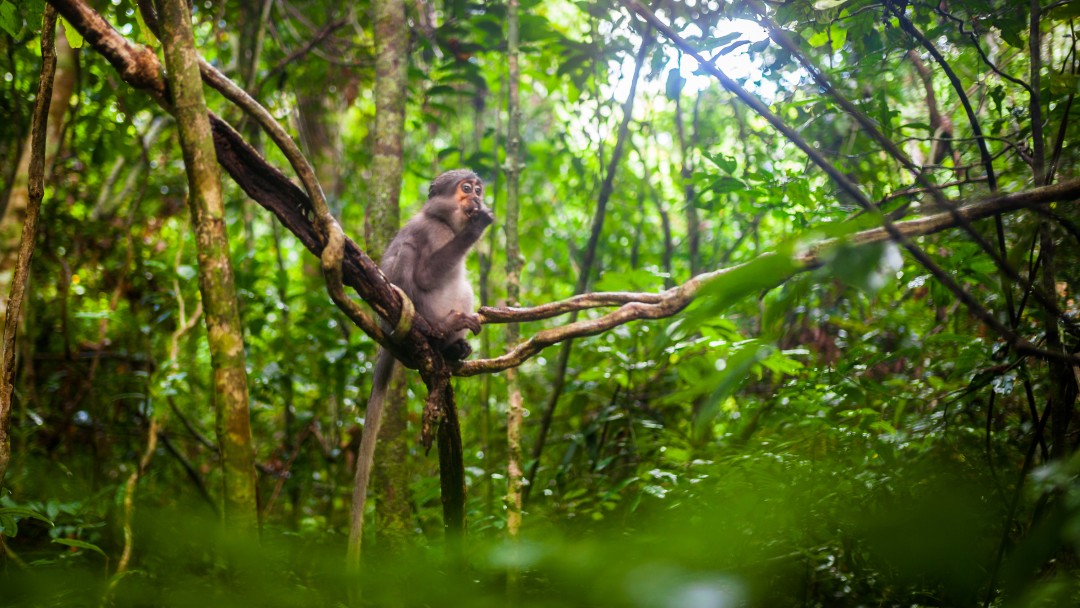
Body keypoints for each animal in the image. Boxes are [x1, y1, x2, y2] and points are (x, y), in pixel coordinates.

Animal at [345, 168, 494, 557]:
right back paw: (444, 334)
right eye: (466, 188)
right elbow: (425, 274)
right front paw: (477, 227)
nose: (476, 198)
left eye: (478, 189)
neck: (443, 220)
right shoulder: (431, 232)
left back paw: (455, 350)